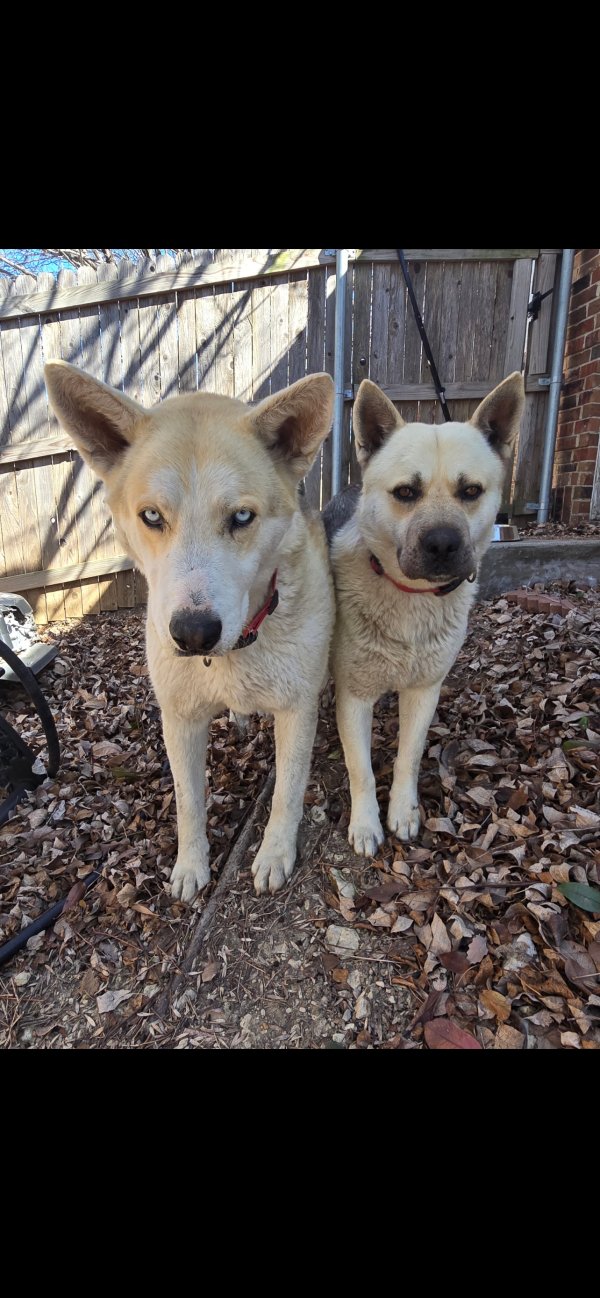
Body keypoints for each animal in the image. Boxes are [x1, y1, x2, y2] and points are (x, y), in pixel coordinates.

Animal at [45, 360, 337, 898]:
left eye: (241, 516)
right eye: (151, 515)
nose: (193, 632)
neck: (233, 654)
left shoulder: (295, 710)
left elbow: (287, 792)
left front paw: (274, 854)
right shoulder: (179, 719)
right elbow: (188, 802)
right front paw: (190, 866)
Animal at [323, 371, 524, 856]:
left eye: (470, 491)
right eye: (405, 493)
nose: (442, 545)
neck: (410, 600)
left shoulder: (424, 691)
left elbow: (408, 757)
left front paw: (402, 810)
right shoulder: (354, 696)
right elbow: (360, 769)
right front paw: (365, 824)